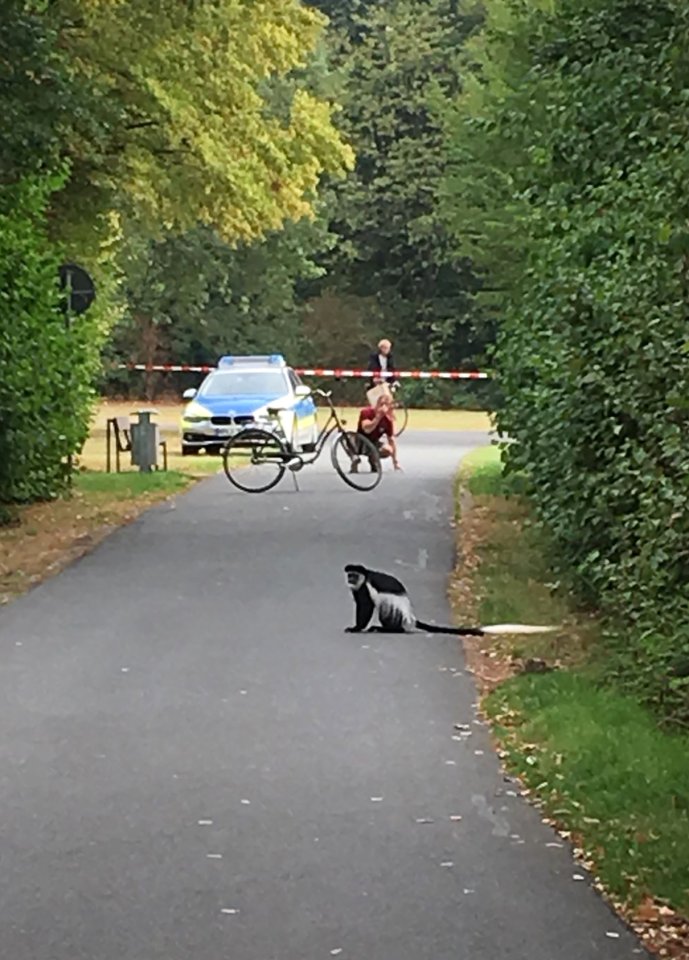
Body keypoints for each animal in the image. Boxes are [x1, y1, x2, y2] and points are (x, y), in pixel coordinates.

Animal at [342, 564, 556, 636]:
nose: (350, 579)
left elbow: (366, 607)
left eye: (353, 575)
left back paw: (386, 629)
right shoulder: (358, 589)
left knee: (387, 613)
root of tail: (411, 616)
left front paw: (356, 628)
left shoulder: (365, 587)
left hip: (395, 610)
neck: (364, 577)